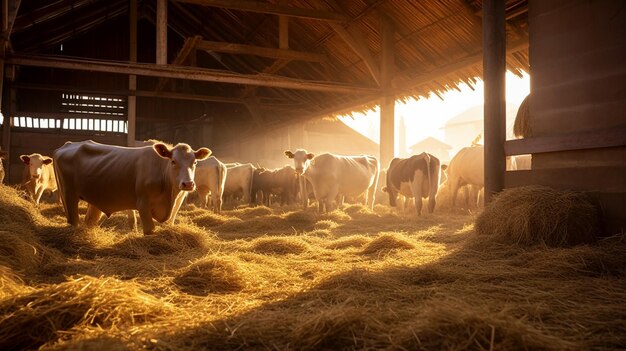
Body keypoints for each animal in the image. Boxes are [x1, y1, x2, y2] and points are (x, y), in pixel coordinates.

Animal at [54, 140, 210, 234]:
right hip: (68, 195)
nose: (188, 184)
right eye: (173, 161)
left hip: (94, 199)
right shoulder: (143, 203)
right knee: (73, 220)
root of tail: (68, 144)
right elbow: (149, 229)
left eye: (195, 162)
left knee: (89, 221)